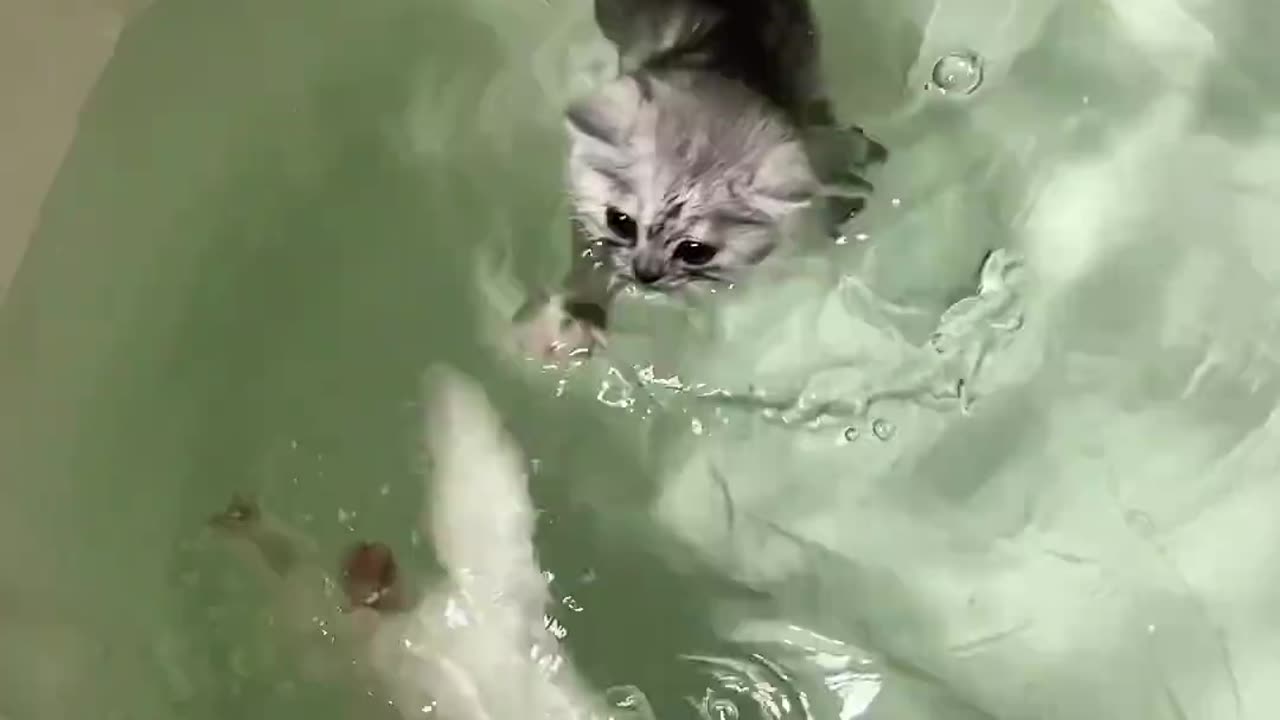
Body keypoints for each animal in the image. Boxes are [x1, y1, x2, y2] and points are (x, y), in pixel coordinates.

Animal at [509, 0, 880, 358]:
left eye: (695, 250)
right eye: (620, 222)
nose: (645, 275)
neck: (729, 61)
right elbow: (594, 254)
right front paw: (577, 318)